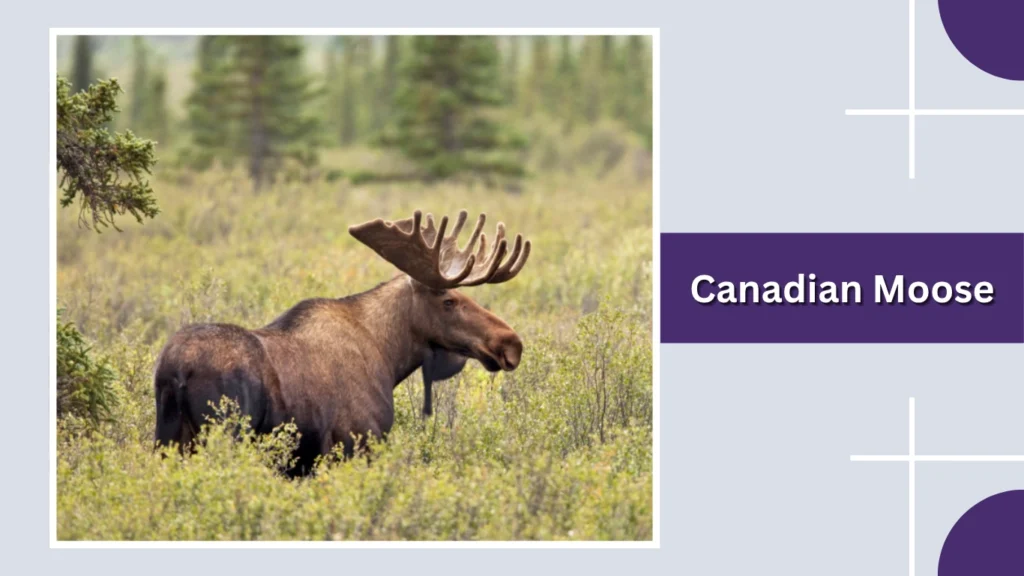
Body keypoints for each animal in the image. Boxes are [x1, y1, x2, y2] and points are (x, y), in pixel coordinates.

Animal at [153, 210, 530, 476]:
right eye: (449, 301)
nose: (510, 343)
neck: (389, 357)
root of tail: (177, 370)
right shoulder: (358, 443)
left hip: (168, 438)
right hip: (224, 435)